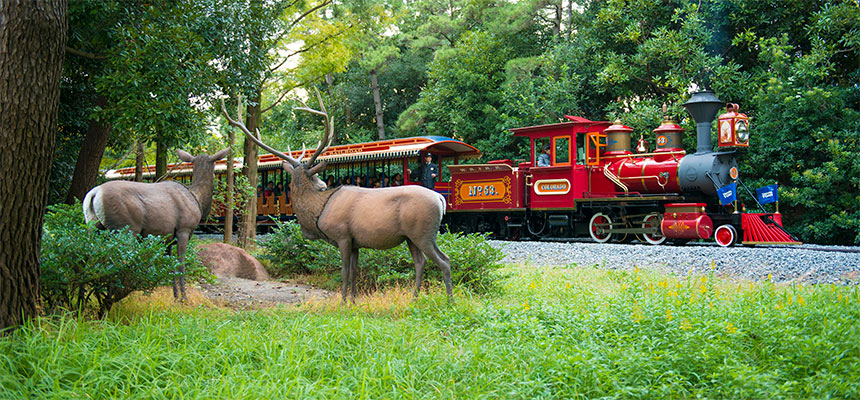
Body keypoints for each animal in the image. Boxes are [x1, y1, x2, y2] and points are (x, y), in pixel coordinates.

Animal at [80, 149, 227, 300]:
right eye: (214, 168)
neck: (197, 199)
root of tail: (94, 194)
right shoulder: (183, 229)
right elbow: (180, 264)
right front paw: (184, 298)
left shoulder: (167, 237)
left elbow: (169, 265)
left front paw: (175, 297)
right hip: (125, 228)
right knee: (115, 261)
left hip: (94, 226)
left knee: (87, 258)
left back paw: (84, 298)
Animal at [222, 96, 454, 304]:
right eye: (315, 176)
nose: (324, 184)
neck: (318, 211)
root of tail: (439, 199)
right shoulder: (355, 241)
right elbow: (354, 271)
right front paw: (353, 300)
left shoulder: (342, 235)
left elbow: (344, 271)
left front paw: (343, 302)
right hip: (411, 237)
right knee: (421, 262)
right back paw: (415, 299)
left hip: (424, 233)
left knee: (444, 260)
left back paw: (449, 301)